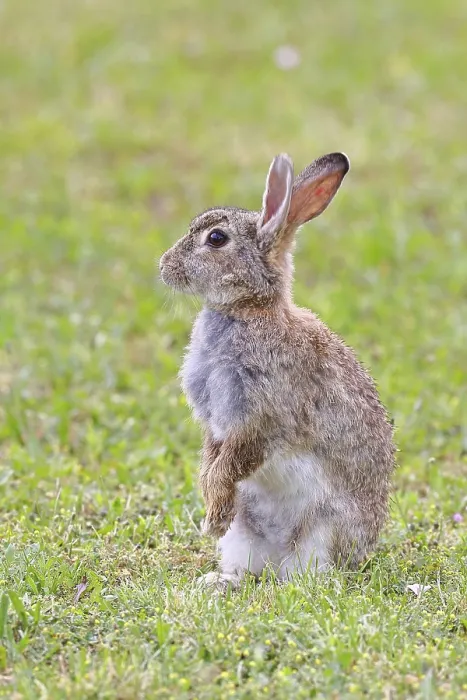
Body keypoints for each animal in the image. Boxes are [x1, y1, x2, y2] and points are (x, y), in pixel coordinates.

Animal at [159, 152, 396, 589]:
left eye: (216, 239)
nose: (164, 266)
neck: (247, 311)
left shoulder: (263, 419)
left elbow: (232, 464)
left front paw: (212, 516)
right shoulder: (217, 425)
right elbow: (212, 461)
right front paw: (210, 512)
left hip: (322, 531)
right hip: (244, 534)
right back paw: (219, 581)